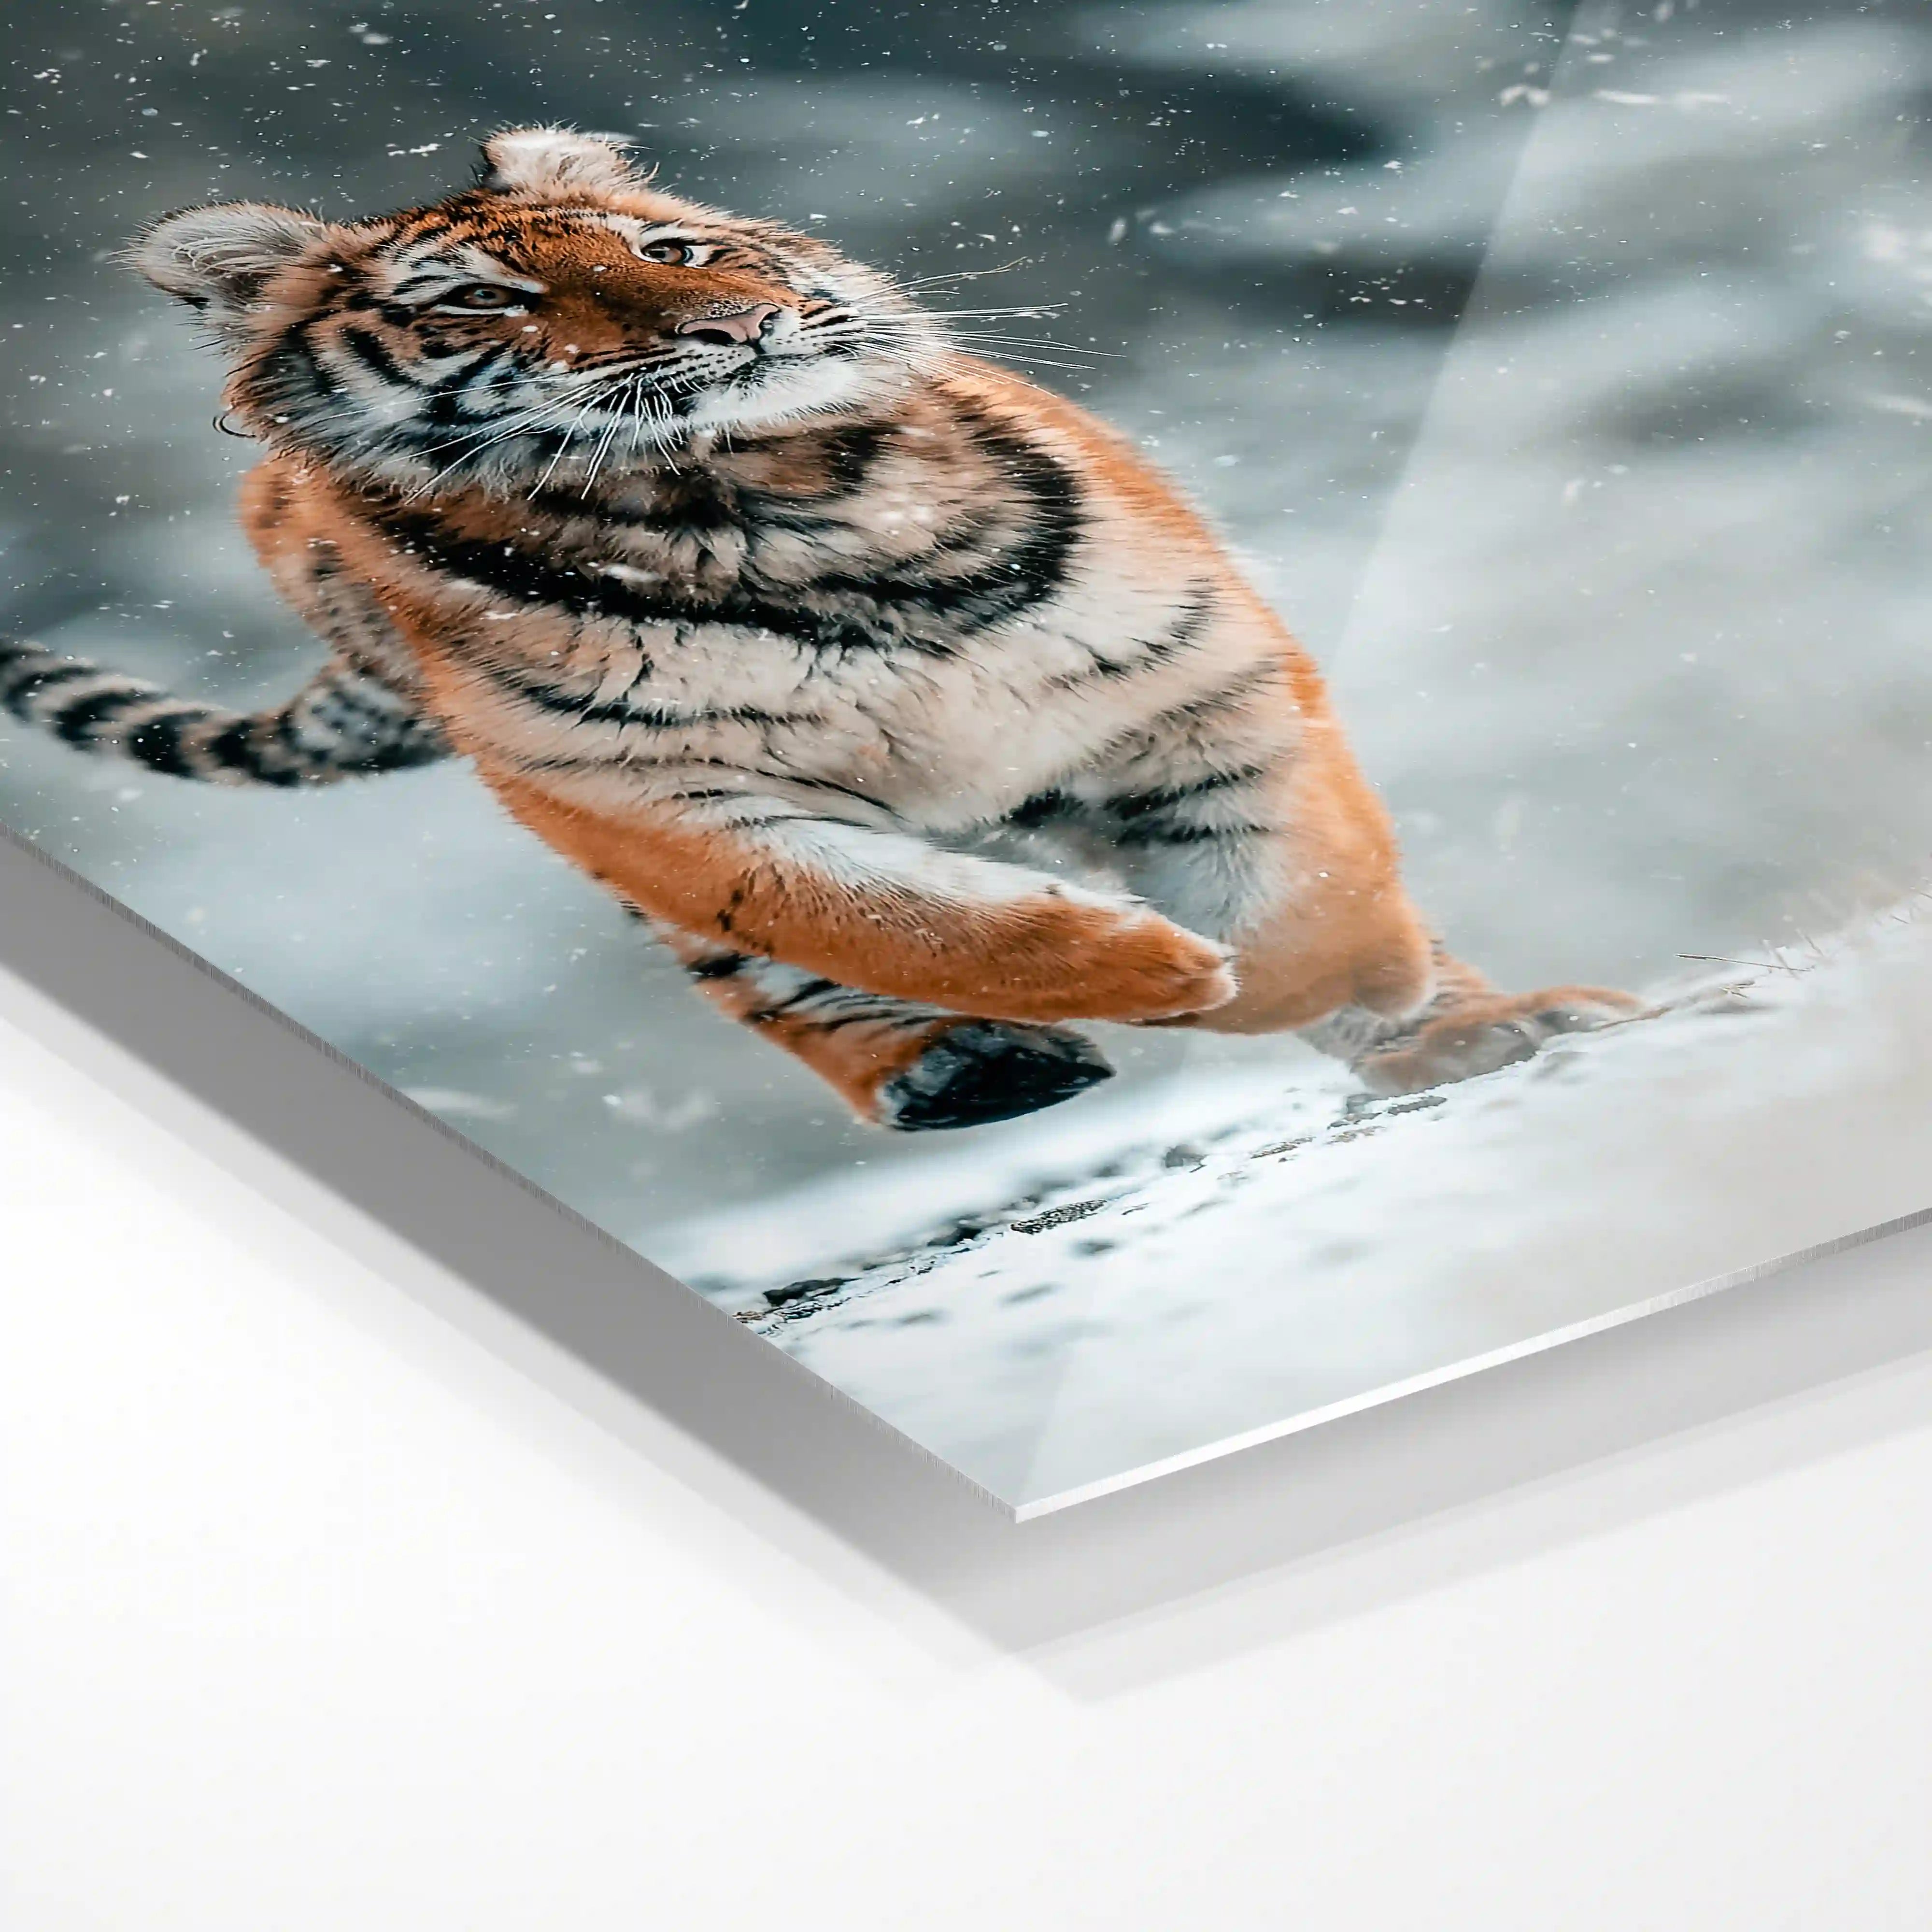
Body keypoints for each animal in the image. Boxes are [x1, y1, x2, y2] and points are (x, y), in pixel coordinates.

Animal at [0, 127, 1641, 1131]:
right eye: (481, 303)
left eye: (663, 251)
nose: (737, 329)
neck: (755, 500)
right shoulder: (665, 808)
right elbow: (903, 919)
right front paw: (1166, 976)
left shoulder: (1189, 680)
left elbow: (1305, 887)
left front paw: (1370, 1003)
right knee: (758, 975)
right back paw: (958, 1071)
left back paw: (1509, 1020)